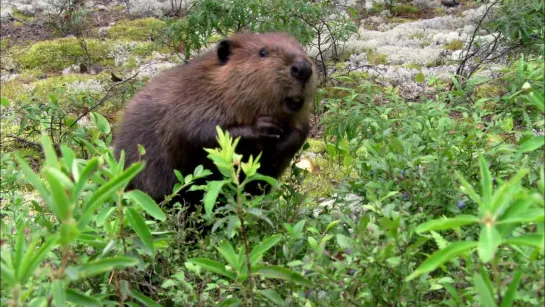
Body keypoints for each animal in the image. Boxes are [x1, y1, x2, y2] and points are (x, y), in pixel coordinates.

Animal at [112, 31, 316, 207]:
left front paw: (279, 146)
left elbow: (301, 130)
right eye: (263, 52)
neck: (216, 85)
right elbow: (198, 134)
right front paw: (264, 128)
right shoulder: (190, 102)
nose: (303, 68)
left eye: (300, 47)